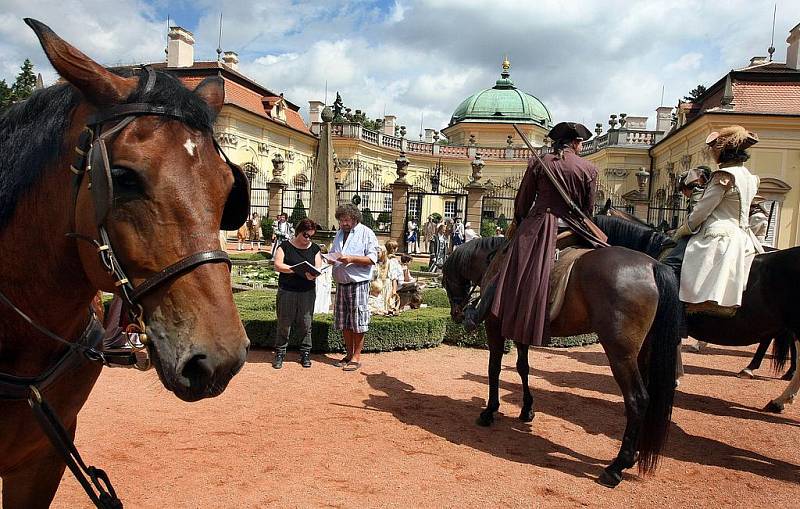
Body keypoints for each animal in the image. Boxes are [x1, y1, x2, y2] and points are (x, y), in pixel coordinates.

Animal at [444, 236, 680, 486]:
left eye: (445, 279)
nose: (456, 314)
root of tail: (653, 265)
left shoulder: (495, 326)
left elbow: (494, 368)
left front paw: (490, 411)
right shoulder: (520, 327)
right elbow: (523, 368)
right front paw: (527, 409)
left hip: (621, 355)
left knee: (637, 399)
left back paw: (616, 466)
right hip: (644, 352)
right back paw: (633, 454)